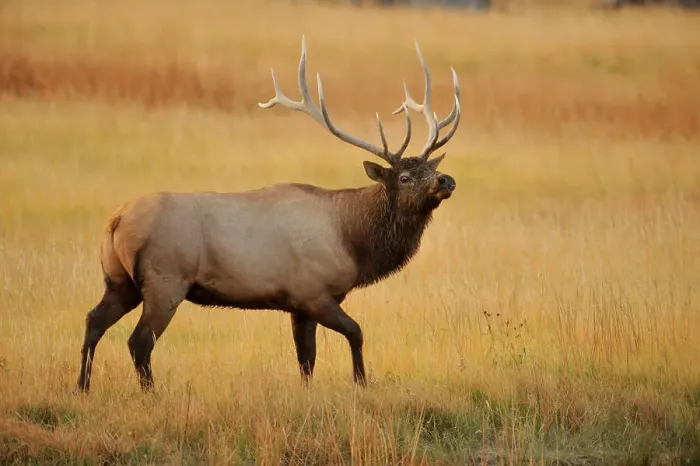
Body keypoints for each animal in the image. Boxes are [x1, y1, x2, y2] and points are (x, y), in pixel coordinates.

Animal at [76, 36, 461, 393]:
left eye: (430, 167)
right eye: (405, 177)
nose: (446, 179)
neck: (353, 242)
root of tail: (115, 222)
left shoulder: (298, 305)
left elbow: (306, 359)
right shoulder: (312, 292)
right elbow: (355, 332)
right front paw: (361, 382)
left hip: (120, 281)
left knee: (94, 320)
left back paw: (82, 387)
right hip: (165, 280)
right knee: (139, 341)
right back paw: (151, 395)